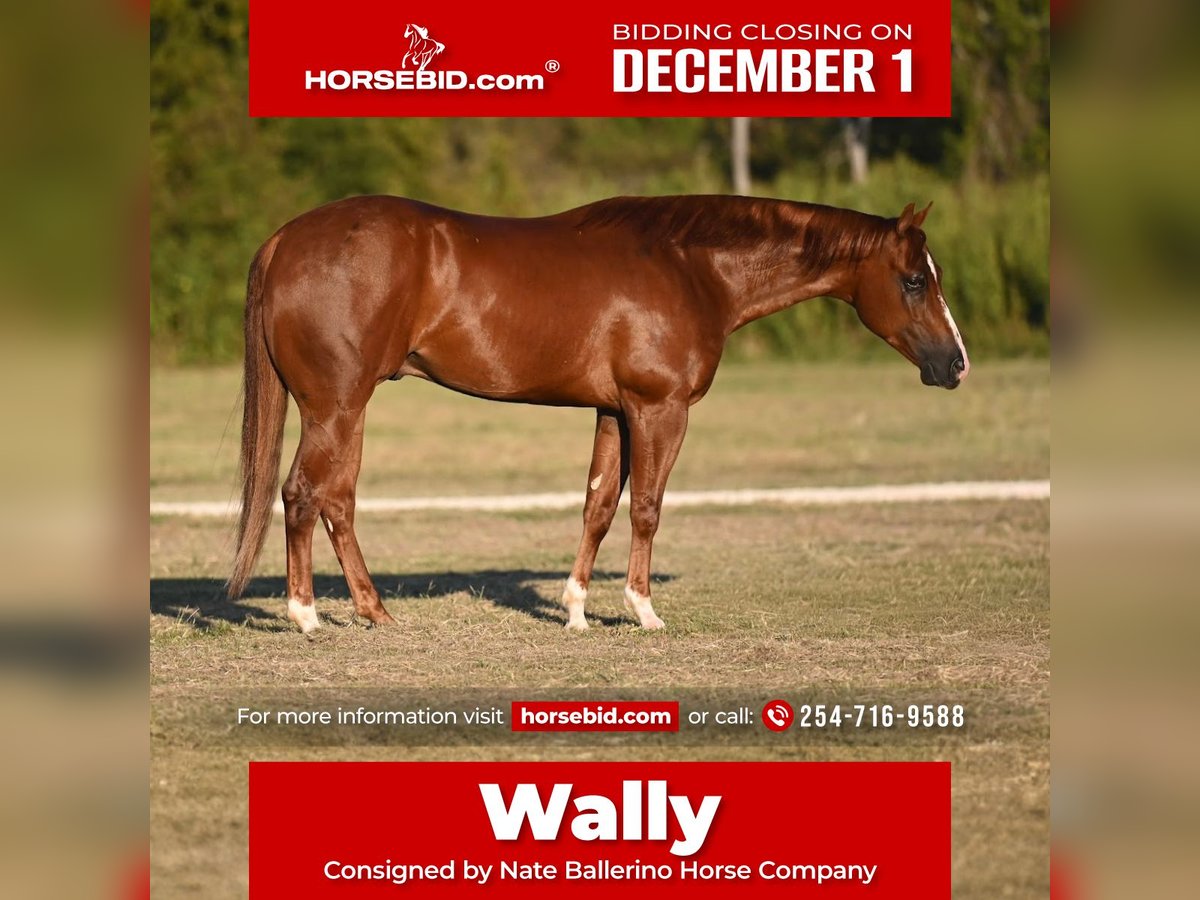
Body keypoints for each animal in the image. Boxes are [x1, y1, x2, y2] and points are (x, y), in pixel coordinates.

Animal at [227, 195, 969, 634]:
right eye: (913, 280)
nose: (955, 364)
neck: (690, 268)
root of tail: (283, 239)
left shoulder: (613, 412)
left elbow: (598, 506)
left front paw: (577, 609)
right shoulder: (659, 410)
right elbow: (646, 508)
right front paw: (643, 609)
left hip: (345, 412)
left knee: (335, 501)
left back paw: (370, 609)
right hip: (337, 407)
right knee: (304, 495)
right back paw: (308, 615)